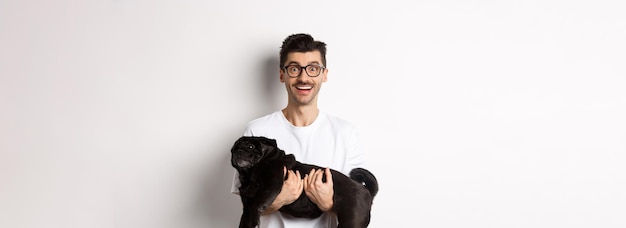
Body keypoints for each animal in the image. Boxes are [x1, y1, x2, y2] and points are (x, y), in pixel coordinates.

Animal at [229, 136, 376, 227]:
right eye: (233, 149)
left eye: (251, 146)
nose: (238, 151)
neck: (250, 174)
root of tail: (365, 190)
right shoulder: (246, 204)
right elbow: (245, 216)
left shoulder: (270, 186)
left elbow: (256, 205)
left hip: (351, 221)